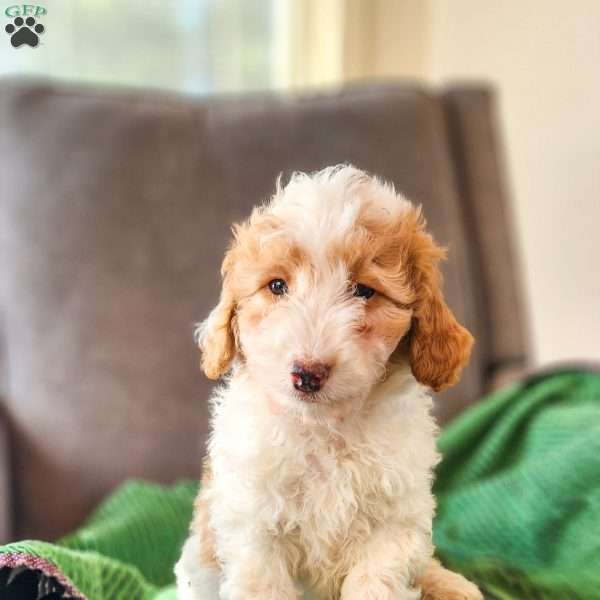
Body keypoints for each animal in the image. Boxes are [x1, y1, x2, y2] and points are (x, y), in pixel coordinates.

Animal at [175, 165, 482, 600]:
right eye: (277, 286)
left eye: (364, 290)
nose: (307, 373)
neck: (324, 430)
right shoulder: (254, 524)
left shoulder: (394, 522)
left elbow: (375, 581)